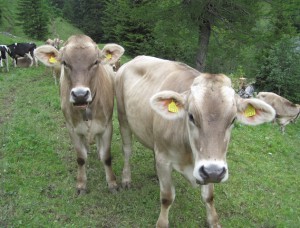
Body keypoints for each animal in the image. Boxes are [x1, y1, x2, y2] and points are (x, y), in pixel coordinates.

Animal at [34, 34, 125, 194]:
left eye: (95, 62)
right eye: (65, 62)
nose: (80, 95)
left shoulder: (107, 126)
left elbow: (107, 157)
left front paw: (112, 183)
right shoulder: (72, 129)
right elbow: (81, 158)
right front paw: (81, 184)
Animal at [115, 55, 276, 228]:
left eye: (233, 119)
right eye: (191, 116)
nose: (214, 172)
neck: (189, 155)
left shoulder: (207, 166)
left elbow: (209, 197)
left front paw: (213, 221)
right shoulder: (164, 160)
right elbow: (167, 197)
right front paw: (162, 222)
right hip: (122, 117)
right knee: (127, 150)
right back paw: (126, 179)